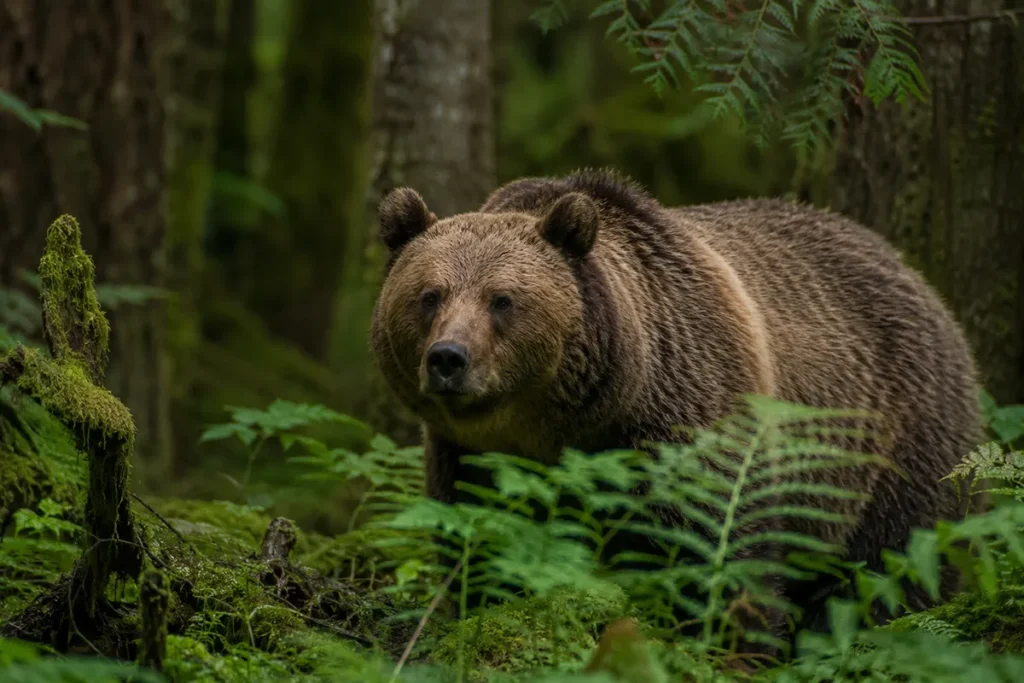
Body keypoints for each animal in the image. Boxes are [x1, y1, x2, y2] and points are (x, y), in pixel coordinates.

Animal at [369, 167, 981, 653]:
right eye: (429, 295)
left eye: (502, 300)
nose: (449, 358)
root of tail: (911, 272)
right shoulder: (474, 458)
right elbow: (483, 544)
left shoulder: (685, 407)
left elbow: (716, 543)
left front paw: (730, 642)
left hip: (892, 440)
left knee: (893, 563)